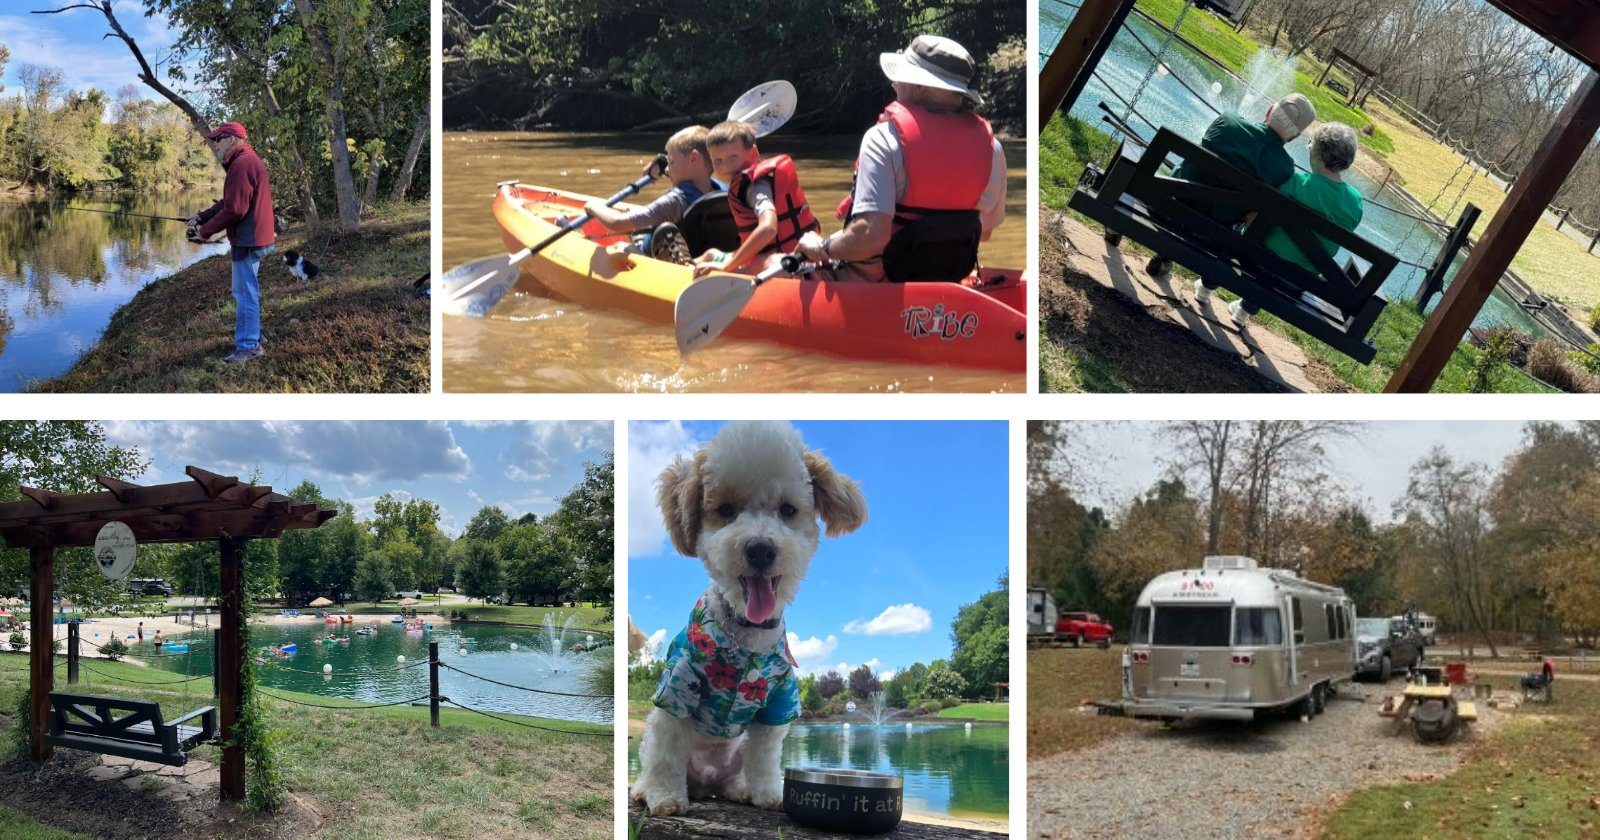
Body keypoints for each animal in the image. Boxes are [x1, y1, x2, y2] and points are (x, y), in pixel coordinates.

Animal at [630, 422, 870, 816]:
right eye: (726, 509)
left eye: (787, 509)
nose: (760, 549)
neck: (745, 631)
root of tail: (706, 783)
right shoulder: (676, 689)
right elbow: (666, 753)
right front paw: (664, 797)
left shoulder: (778, 702)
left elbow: (765, 755)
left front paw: (768, 793)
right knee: (655, 756)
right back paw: (642, 789)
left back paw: (740, 789)